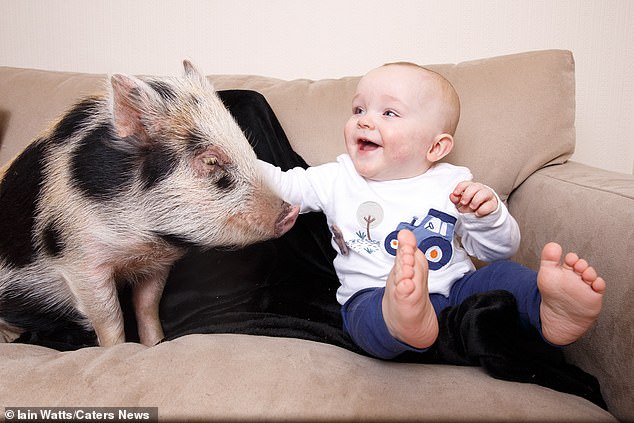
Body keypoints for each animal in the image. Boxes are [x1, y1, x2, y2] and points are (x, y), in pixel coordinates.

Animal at [0, 61, 299, 347]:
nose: (292, 211)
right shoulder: (81, 260)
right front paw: (116, 349)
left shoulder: (157, 264)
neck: (144, 238)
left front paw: (153, 344)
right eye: (211, 160)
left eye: (247, 147)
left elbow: (147, 306)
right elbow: (110, 319)